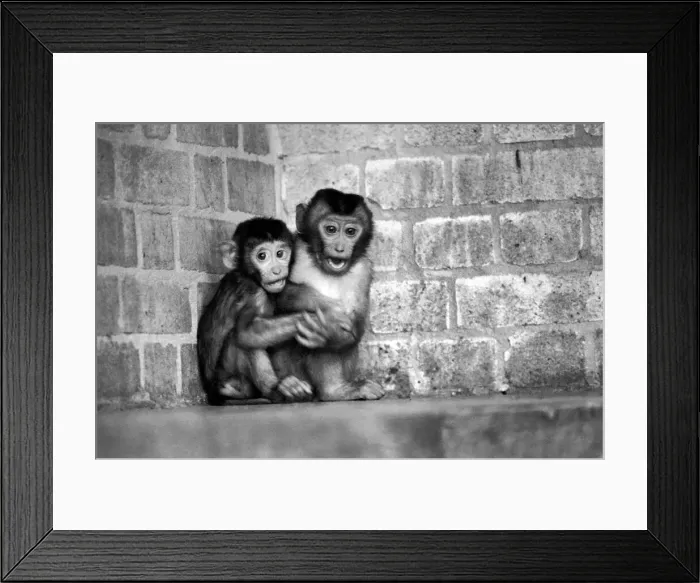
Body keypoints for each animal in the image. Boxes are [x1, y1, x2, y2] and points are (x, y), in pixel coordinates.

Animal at [197, 217, 327, 406]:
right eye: (262, 256)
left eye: (280, 254)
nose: (277, 270)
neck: (249, 276)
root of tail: (213, 396)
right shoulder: (253, 292)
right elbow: (247, 330)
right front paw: (320, 321)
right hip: (233, 383)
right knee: (240, 337)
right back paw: (278, 390)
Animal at [271, 188, 386, 402]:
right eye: (331, 229)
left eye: (350, 232)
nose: (340, 248)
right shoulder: (295, 249)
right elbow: (278, 293)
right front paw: (329, 308)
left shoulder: (363, 270)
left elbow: (355, 323)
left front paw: (328, 334)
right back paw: (291, 387)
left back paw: (335, 390)